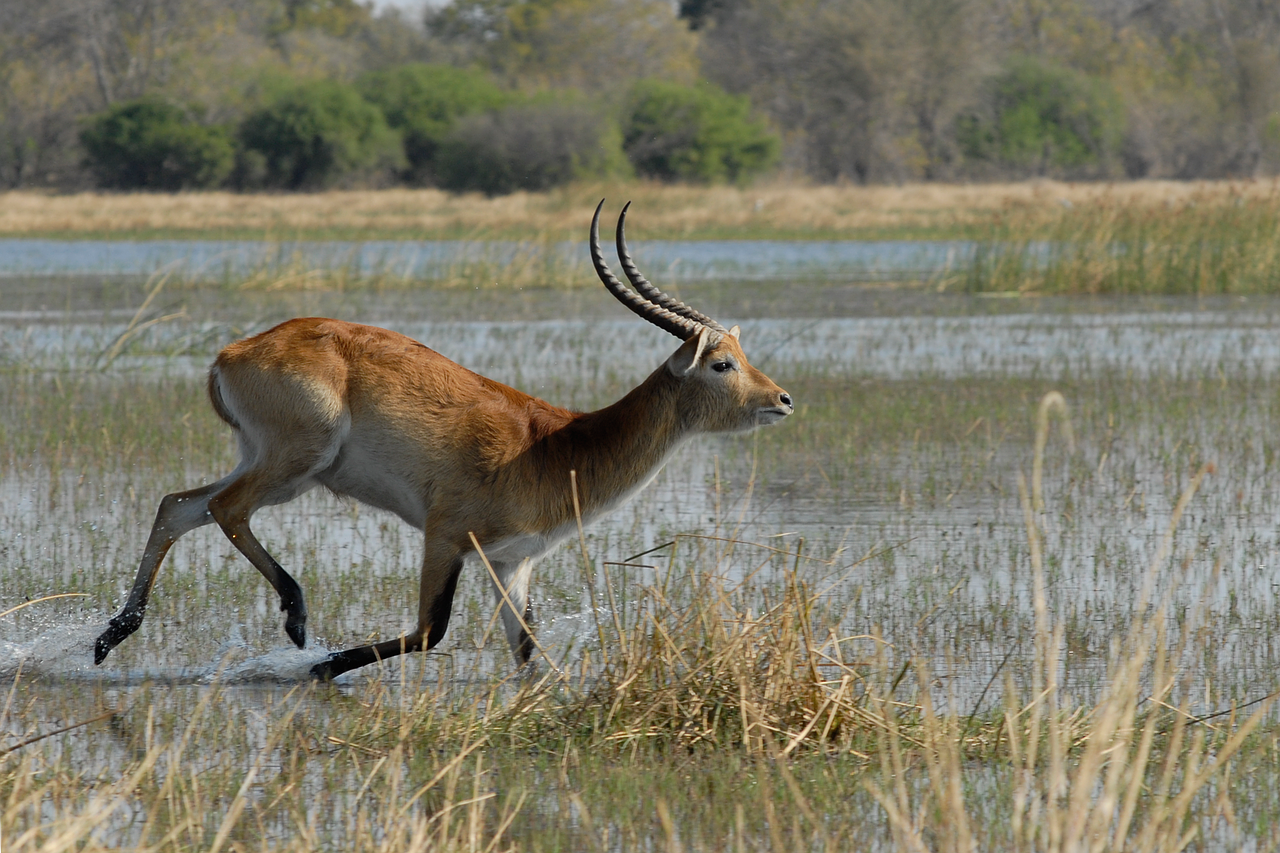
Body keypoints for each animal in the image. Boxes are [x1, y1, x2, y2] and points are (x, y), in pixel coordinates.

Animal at [94, 199, 788, 676]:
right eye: (722, 363)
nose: (782, 399)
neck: (558, 444)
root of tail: (232, 352)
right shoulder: (446, 534)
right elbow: (432, 629)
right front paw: (323, 666)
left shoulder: (513, 561)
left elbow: (527, 650)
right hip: (298, 463)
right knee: (223, 507)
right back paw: (296, 620)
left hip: (271, 463)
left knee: (179, 505)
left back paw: (110, 637)